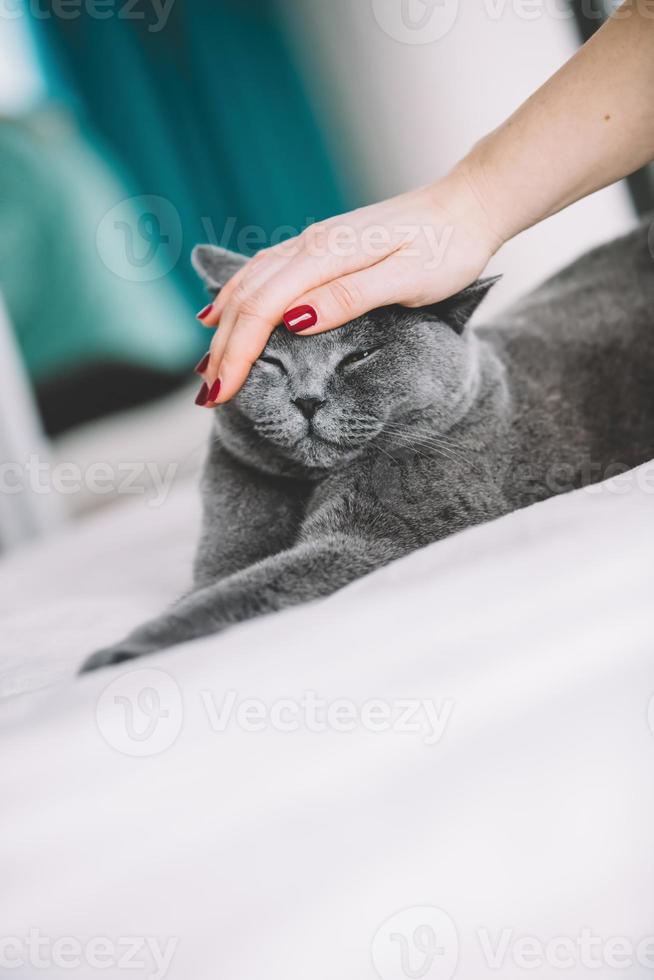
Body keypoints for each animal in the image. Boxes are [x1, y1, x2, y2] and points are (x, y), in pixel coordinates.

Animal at [82, 218, 654, 668]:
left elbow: (251, 587)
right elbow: (218, 583)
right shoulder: (225, 544)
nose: (307, 399)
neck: (305, 488)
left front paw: (116, 651)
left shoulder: (376, 543)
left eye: (359, 356)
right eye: (269, 360)